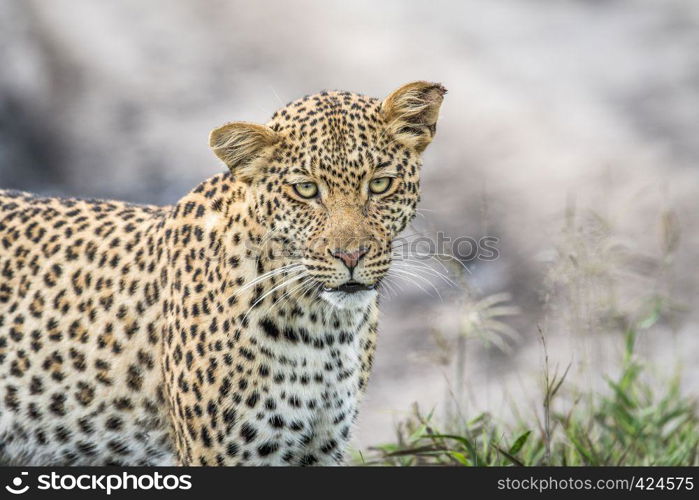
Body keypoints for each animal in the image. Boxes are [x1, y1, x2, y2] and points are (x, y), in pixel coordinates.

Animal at [0, 81, 446, 464]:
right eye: (305, 190)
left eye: (381, 184)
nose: (350, 255)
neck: (324, 331)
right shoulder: (221, 455)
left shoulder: (321, 449)